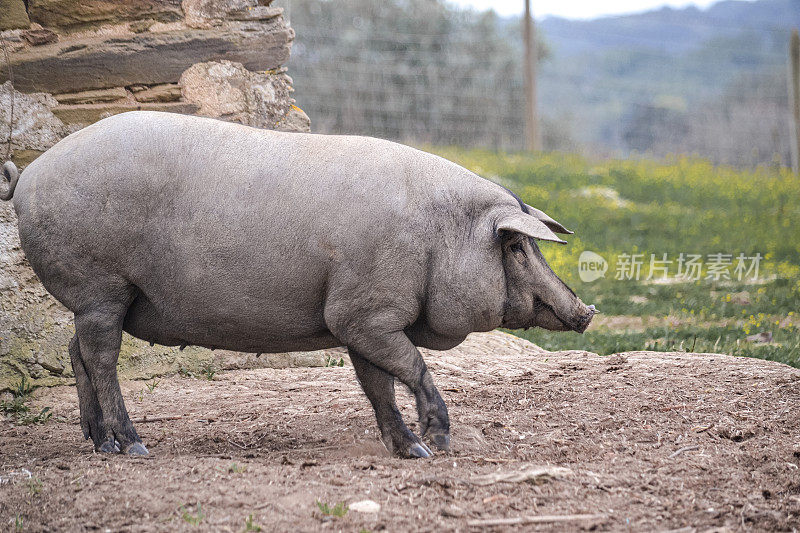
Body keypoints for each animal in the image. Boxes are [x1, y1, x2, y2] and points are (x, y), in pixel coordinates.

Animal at [1, 111, 592, 458]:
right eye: (516, 246)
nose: (586, 312)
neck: (436, 236)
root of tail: (29, 175)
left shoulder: (354, 318)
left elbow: (377, 384)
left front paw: (410, 451)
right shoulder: (364, 312)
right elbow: (411, 367)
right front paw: (439, 444)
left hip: (96, 299)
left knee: (76, 351)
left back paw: (99, 444)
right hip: (100, 285)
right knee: (101, 357)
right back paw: (136, 447)